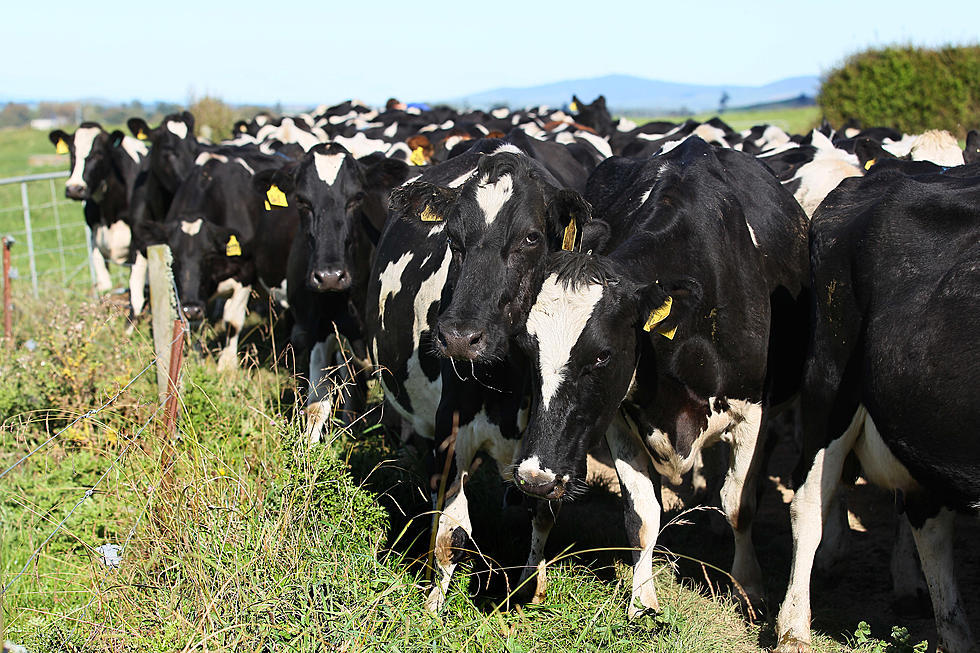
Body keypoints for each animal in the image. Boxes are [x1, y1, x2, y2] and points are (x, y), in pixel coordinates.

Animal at [368, 143, 604, 612]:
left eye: (531, 237)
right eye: (452, 238)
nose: (460, 337)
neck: (509, 386)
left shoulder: (555, 448)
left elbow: (543, 515)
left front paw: (532, 588)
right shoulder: (451, 430)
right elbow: (451, 533)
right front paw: (433, 605)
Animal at [510, 138, 808, 616]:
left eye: (602, 356)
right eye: (526, 346)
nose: (536, 477)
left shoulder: (752, 413)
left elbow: (739, 503)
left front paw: (749, 587)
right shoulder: (618, 418)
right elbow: (642, 515)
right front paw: (642, 600)